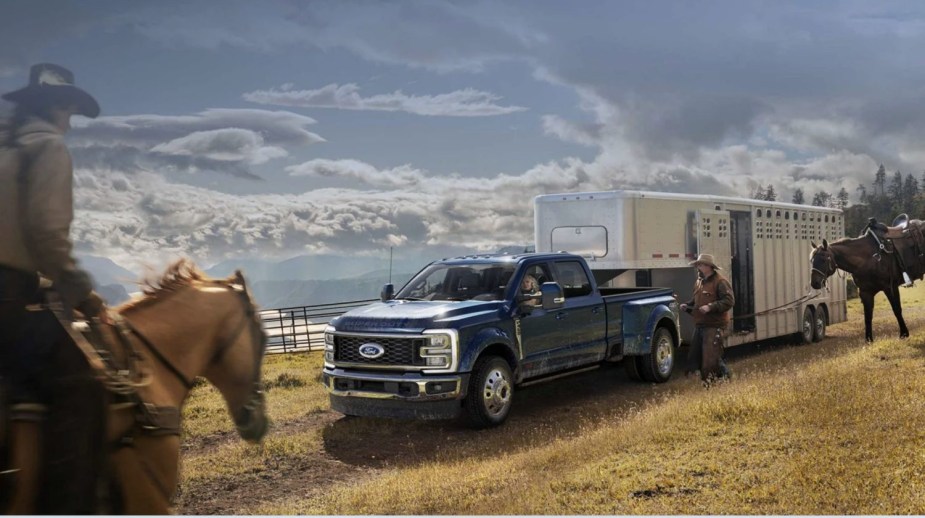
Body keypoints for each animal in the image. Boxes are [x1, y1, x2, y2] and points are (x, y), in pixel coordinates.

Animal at [808, 215, 924, 346]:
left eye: (823, 259)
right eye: (811, 260)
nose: (814, 283)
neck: (868, 259)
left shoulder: (890, 288)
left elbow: (897, 310)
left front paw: (904, 334)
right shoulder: (865, 292)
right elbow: (868, 316)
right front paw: (869, 340)